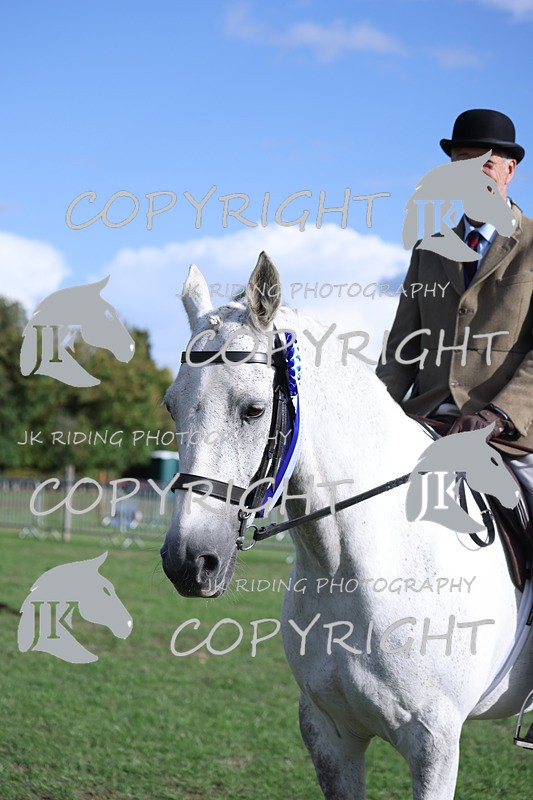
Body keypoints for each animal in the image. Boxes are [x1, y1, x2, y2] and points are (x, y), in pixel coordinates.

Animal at [160, 252, 533, 799]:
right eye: (171, 405)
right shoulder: (329, 733)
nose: (188, 562)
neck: (347, 567)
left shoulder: (435, 745)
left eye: (253, 410)